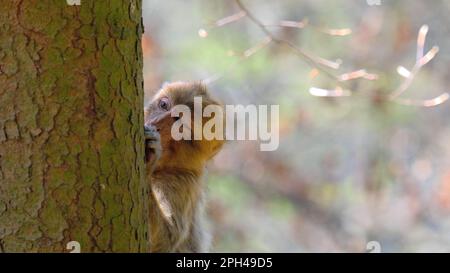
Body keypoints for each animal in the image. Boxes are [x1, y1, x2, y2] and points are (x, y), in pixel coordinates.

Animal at [144, 81, 225, 251]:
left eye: (181, 126)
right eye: (164, 105)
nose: (156, 123)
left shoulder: (182, 182)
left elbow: (166, 240)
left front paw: (149, 158)